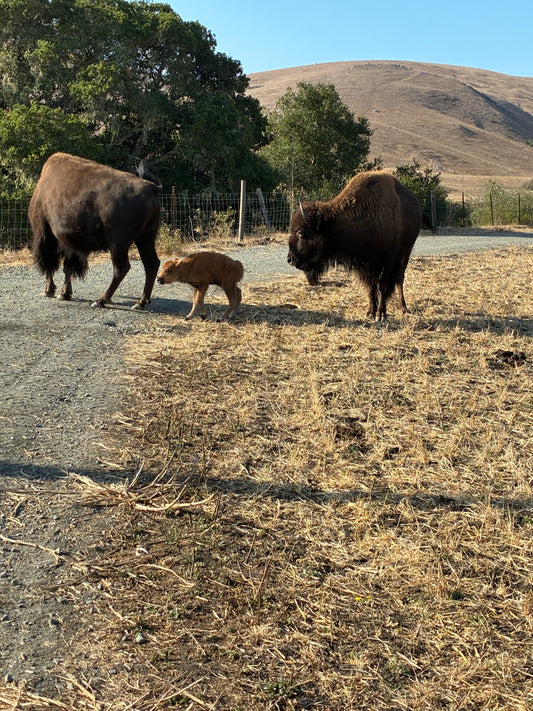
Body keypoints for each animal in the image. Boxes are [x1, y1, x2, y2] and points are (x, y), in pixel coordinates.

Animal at [29, 152, 161, 309]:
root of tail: (151, 187)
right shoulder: (72, 242)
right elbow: (68, 266)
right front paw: (64, 293)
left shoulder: (49, 236)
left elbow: (55, 264)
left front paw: (51, 291)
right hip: (145, 238)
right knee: (151, 264)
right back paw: (140, 303)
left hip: (119, 244)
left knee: (122, 268)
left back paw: (100, 301)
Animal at [288, 170, 432, 320]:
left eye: (301, 232)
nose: (290, 259)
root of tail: (417, 206)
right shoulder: (368, 263)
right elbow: (371, 286)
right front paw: (370, 312)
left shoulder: (389, 259)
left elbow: (383, 285)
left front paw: (380, 314)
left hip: (406, 252)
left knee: (399, 278)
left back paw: (403, 307)